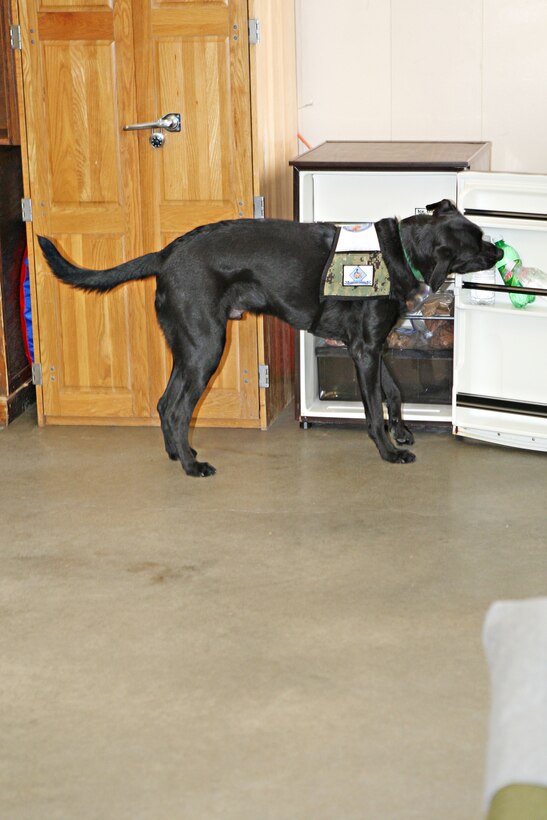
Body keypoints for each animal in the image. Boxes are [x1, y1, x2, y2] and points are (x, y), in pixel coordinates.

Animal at [37, 199, 500, 478]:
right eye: (476, 243)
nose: (499, 251)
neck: (400, 251)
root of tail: (166, 254)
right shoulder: (365, 350)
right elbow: (373, 409)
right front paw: (388, 451)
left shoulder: (373, 346)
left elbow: (394, 392)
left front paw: (402, 432)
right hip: (207, 348)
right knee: (177, 408)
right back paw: (190, 465)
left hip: (188, 348)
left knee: (165, 403)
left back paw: (177, 454)